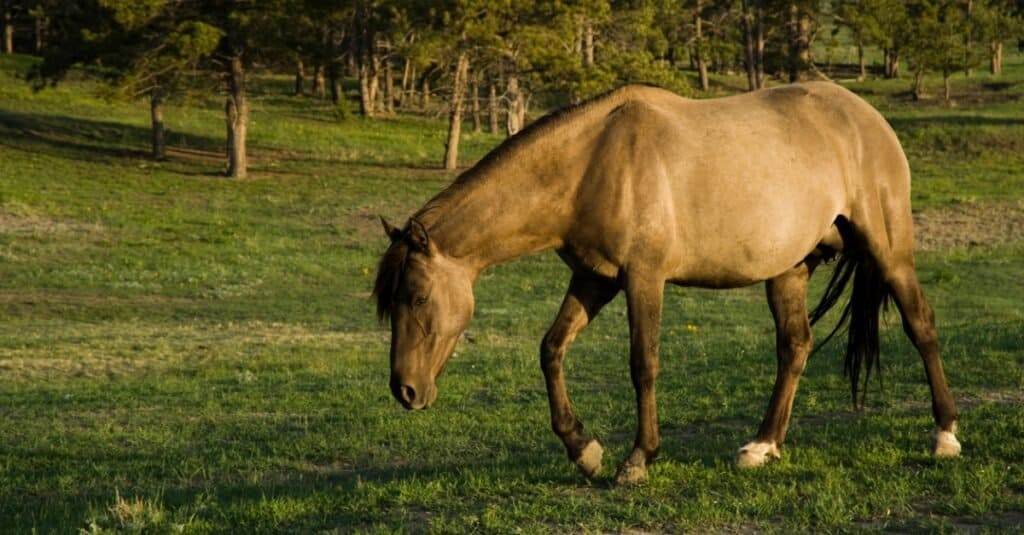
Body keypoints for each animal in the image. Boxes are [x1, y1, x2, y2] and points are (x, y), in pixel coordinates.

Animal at [374, 81, 958, 483]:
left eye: (418, 297)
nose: (405, 390)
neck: (592, 163)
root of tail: (865, 116)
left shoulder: (643, 278)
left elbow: (643, 363)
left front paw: (637, 459)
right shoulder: (594, 278)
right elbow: (552, 349)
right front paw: (583, 450)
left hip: (889, 251)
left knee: (921, 324)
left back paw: (945, 434)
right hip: (788, 270)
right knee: (795, 346)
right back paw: (762, 446)